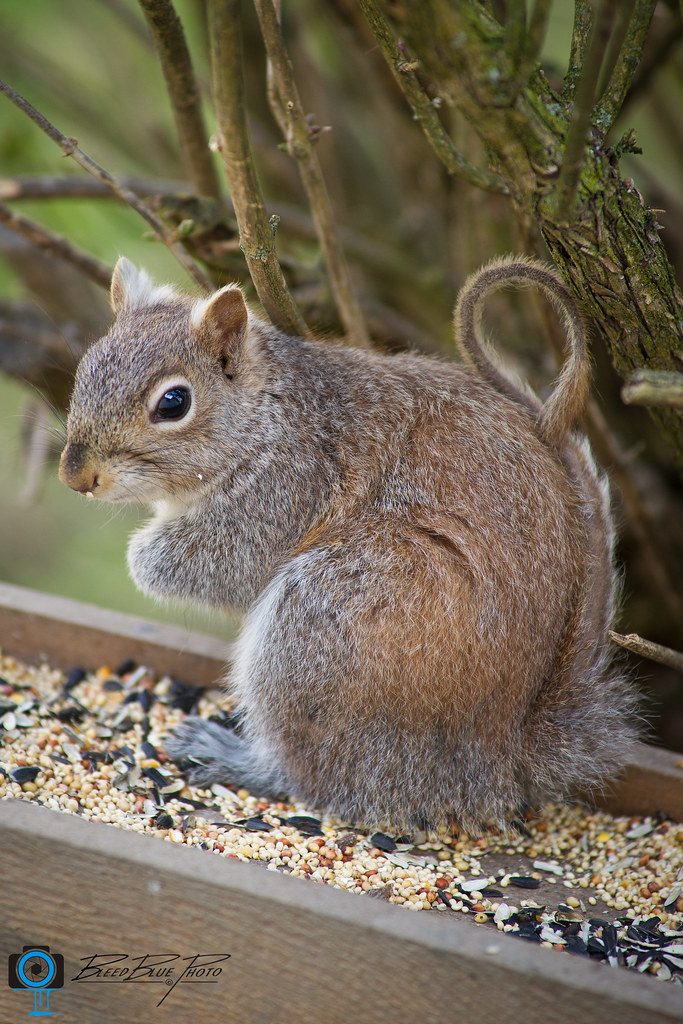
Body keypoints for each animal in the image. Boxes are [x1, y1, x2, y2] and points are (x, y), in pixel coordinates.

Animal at [59, 255, 638, 831]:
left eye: (174, 402)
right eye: (85, 368)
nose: (75, 477)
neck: (266, 414)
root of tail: (500, 751)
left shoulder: (287, 490)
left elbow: (224, 566)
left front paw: (142, 557)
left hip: (331, 620)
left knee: (316, 776)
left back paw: (230, 755)